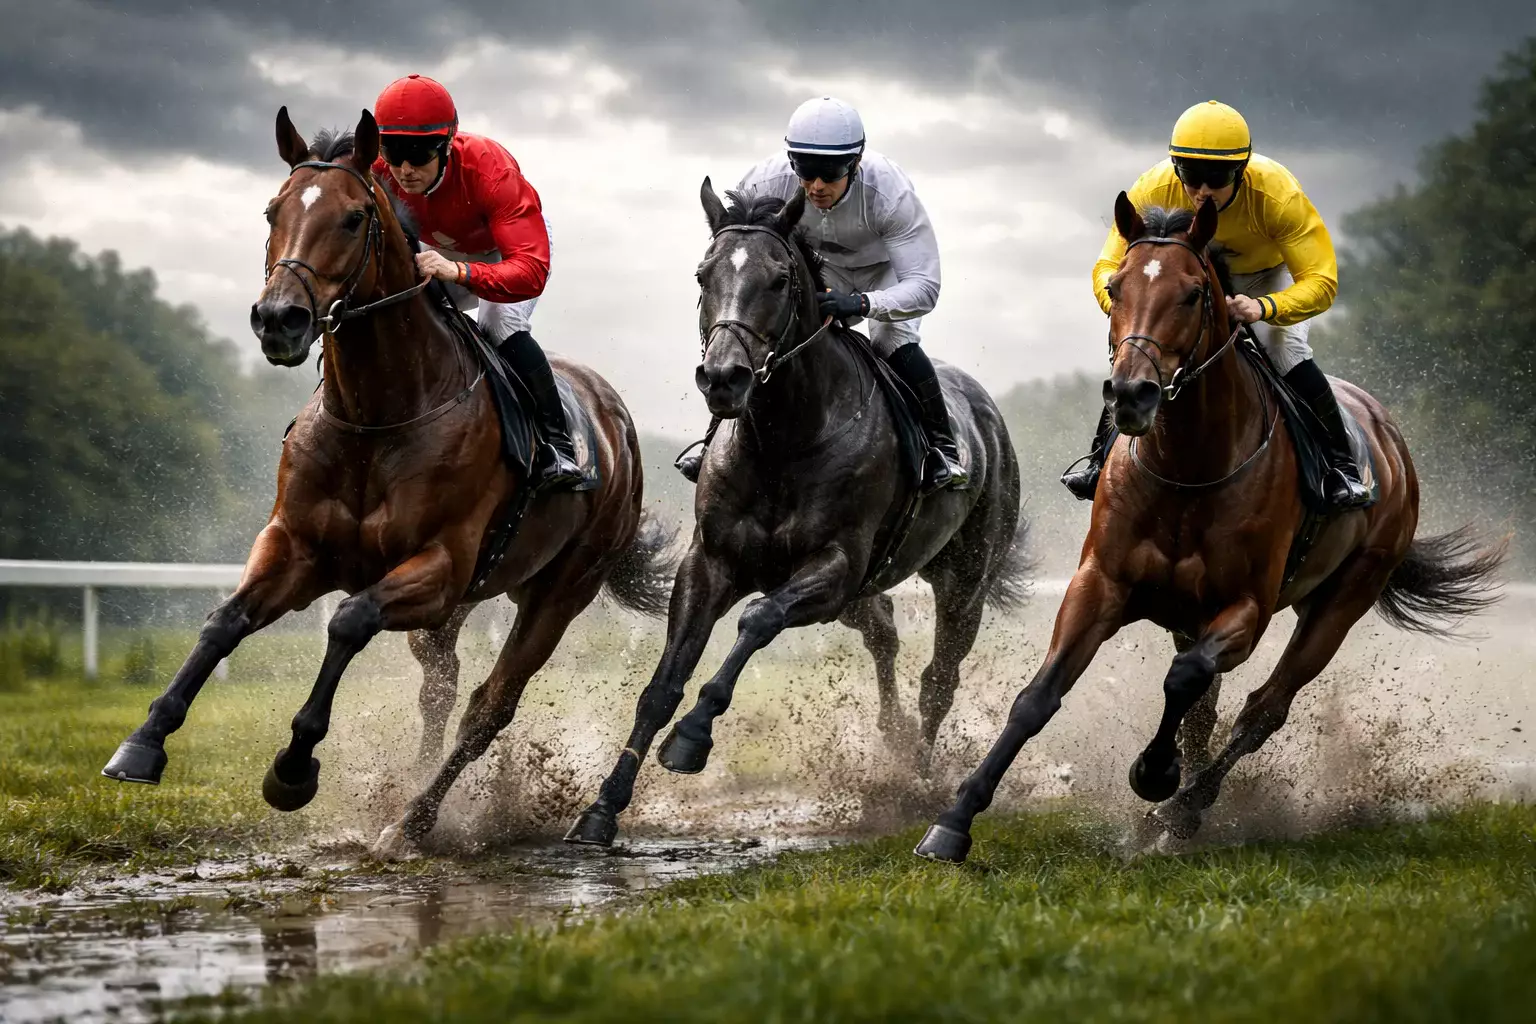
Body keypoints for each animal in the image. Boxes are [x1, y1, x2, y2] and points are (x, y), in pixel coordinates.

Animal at [101, 108, 674, 858]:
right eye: (272, 210)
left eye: (352, 218)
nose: (279, 319)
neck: (378, 414)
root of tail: (619, 424)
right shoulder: (298, 545)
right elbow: (224, 621)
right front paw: (143, 743)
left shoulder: (438, 566)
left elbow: (349, 619)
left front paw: (294, 768)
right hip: (464, 604)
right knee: (442, 689)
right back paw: (410, 792)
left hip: (560, 590)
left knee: (489, 706)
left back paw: (414, 819)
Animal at [563, 180, 1029, 847]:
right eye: (703, 274)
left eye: (780, 279)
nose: (723, 377)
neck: (783, 439)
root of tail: (988, 414)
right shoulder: (711, 564)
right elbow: (661, 685)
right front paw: (602, 808)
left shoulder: (831, 569)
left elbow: (758, 618)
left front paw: (691, 737)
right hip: (864, 593)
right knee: (884, 630)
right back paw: (893, 741)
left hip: (962, 581)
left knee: (939, 680)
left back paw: (915, 780)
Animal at [914, 196, 1505, 864]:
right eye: (1116, 288)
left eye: (1194, 294)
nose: (1131, 393)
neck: (1188, 468)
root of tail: (1390, 437)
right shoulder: (1101, 583)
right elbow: (1038, 697)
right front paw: (953, 821)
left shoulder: (1246, 607)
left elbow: (1185, 679)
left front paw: (1155, 774)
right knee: (1214, 710)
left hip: (1345, 597)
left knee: (1263, 708)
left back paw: (1185, 807)